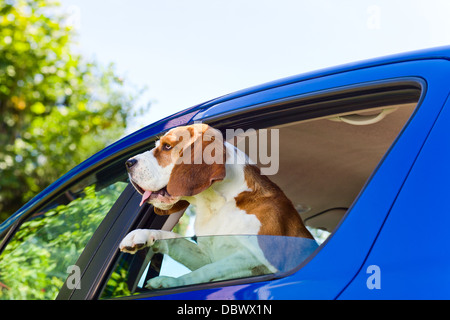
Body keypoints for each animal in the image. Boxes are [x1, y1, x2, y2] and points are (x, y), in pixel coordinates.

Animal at [121, 124, 314, 288]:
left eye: (167, 146)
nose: (128, 163)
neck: (217, 205)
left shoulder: (258, 258)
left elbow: (206, 271)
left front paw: (171, 282)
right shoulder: (208, 255)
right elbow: (174, 239)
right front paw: (142, 235)